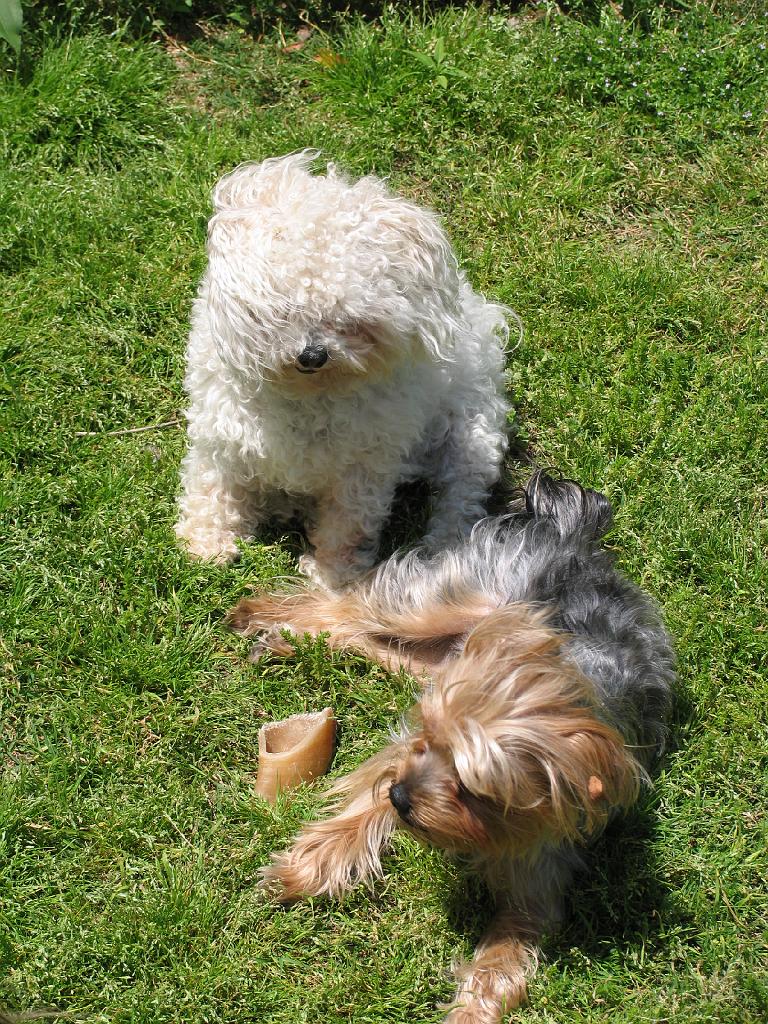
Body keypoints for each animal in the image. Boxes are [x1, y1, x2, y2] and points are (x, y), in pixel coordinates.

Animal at [174, 148, 512, 589]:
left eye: (351, 317)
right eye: (284, 307)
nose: (312, 355)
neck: (308, 395)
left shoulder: (365, 462)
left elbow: (348, 521)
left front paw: (332, 575)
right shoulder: (223, 432)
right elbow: (211, 484)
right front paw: (207, 542)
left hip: (471, 433)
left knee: (461, 496)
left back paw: (445, 549)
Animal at [227, 471, 671, 1024]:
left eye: (475, 790)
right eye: (427, 739)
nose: (400, 798)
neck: (573, 682)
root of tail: (573, 538)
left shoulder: (543, 857)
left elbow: (508, 950)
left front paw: (473, 1007)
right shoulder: (405, 750)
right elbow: (362, 802)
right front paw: (305, 869)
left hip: (435, 659)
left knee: (364, 637)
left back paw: (288, 640)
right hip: (448, 598)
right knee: (350, 606)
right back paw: (260, 617)